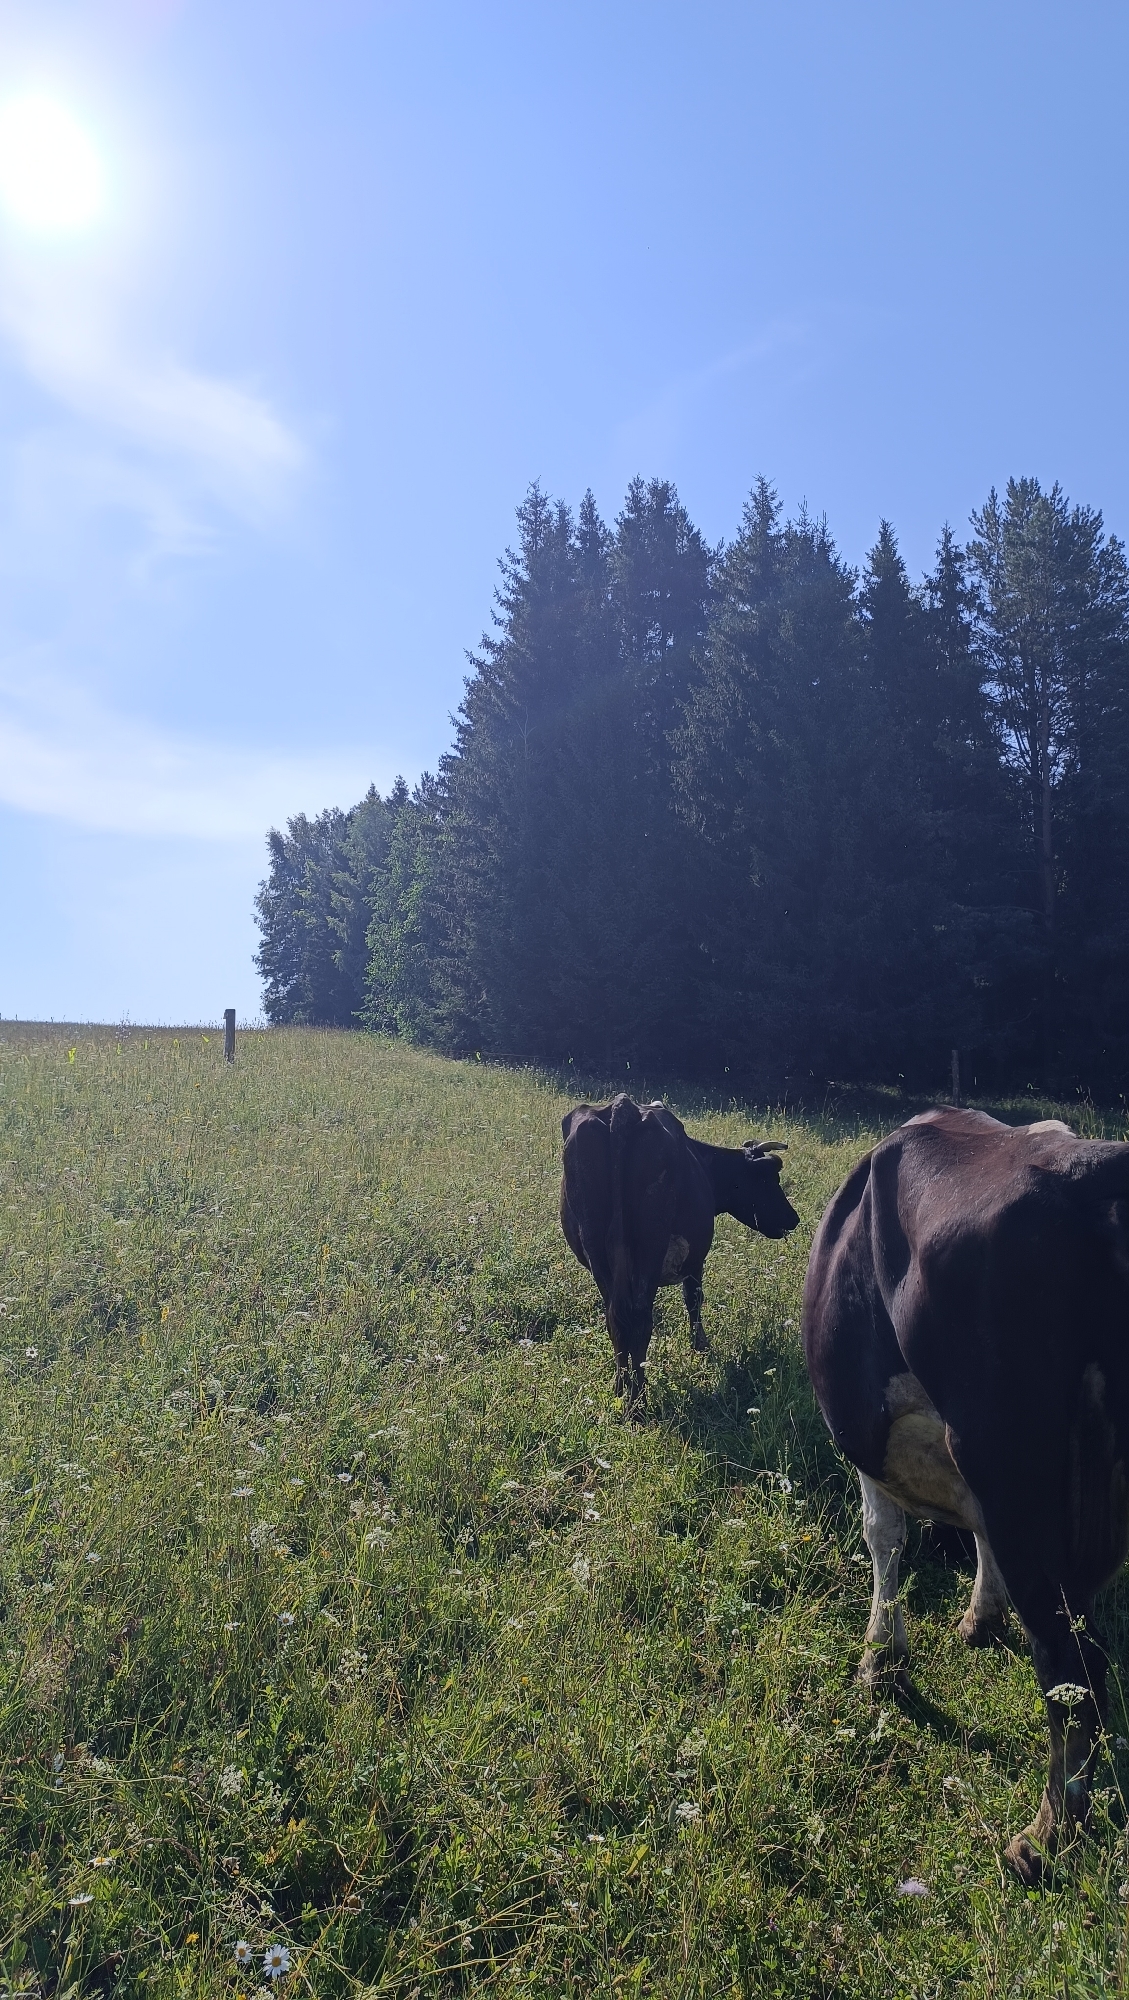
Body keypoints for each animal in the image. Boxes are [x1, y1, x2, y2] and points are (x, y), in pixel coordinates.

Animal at [560, 1093, 799, 1410]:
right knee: (640, 1320)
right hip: (649, 1251)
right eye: (768, 1178)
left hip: (597, 1252)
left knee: (616, 1319)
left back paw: (621, 1390)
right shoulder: (695, 1260)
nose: (793, 1218)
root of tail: (622, 1109)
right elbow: (694, 1298)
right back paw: (638, 1402)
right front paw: (701, 1346)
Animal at [802, 1104, 1129, 1883]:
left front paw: (880, 1656)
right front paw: (978, 1619)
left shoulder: (870, 1430)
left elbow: (882, 1538)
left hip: (1013, 1473)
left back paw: (1043, 1838)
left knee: (1074, 1671)